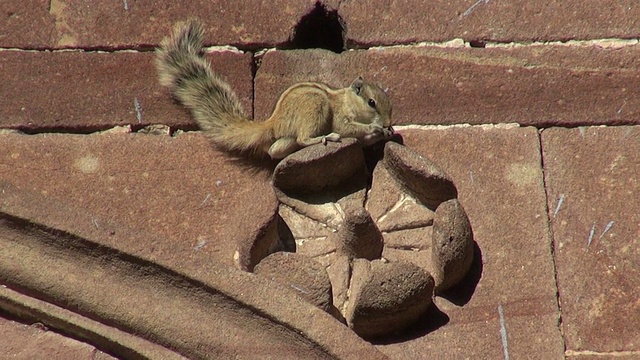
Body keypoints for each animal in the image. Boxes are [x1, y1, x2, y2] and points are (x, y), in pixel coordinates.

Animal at [156, 19, 396, 159]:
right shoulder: (339, 116)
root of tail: (273, 123)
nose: (388, 123)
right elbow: (347, 128)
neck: (347, 101)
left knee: (276, 151)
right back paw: (322, 138)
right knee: (302, 138)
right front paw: (374, 128)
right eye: (371, 102)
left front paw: (384, 133)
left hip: (285, 139)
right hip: (314, 107)